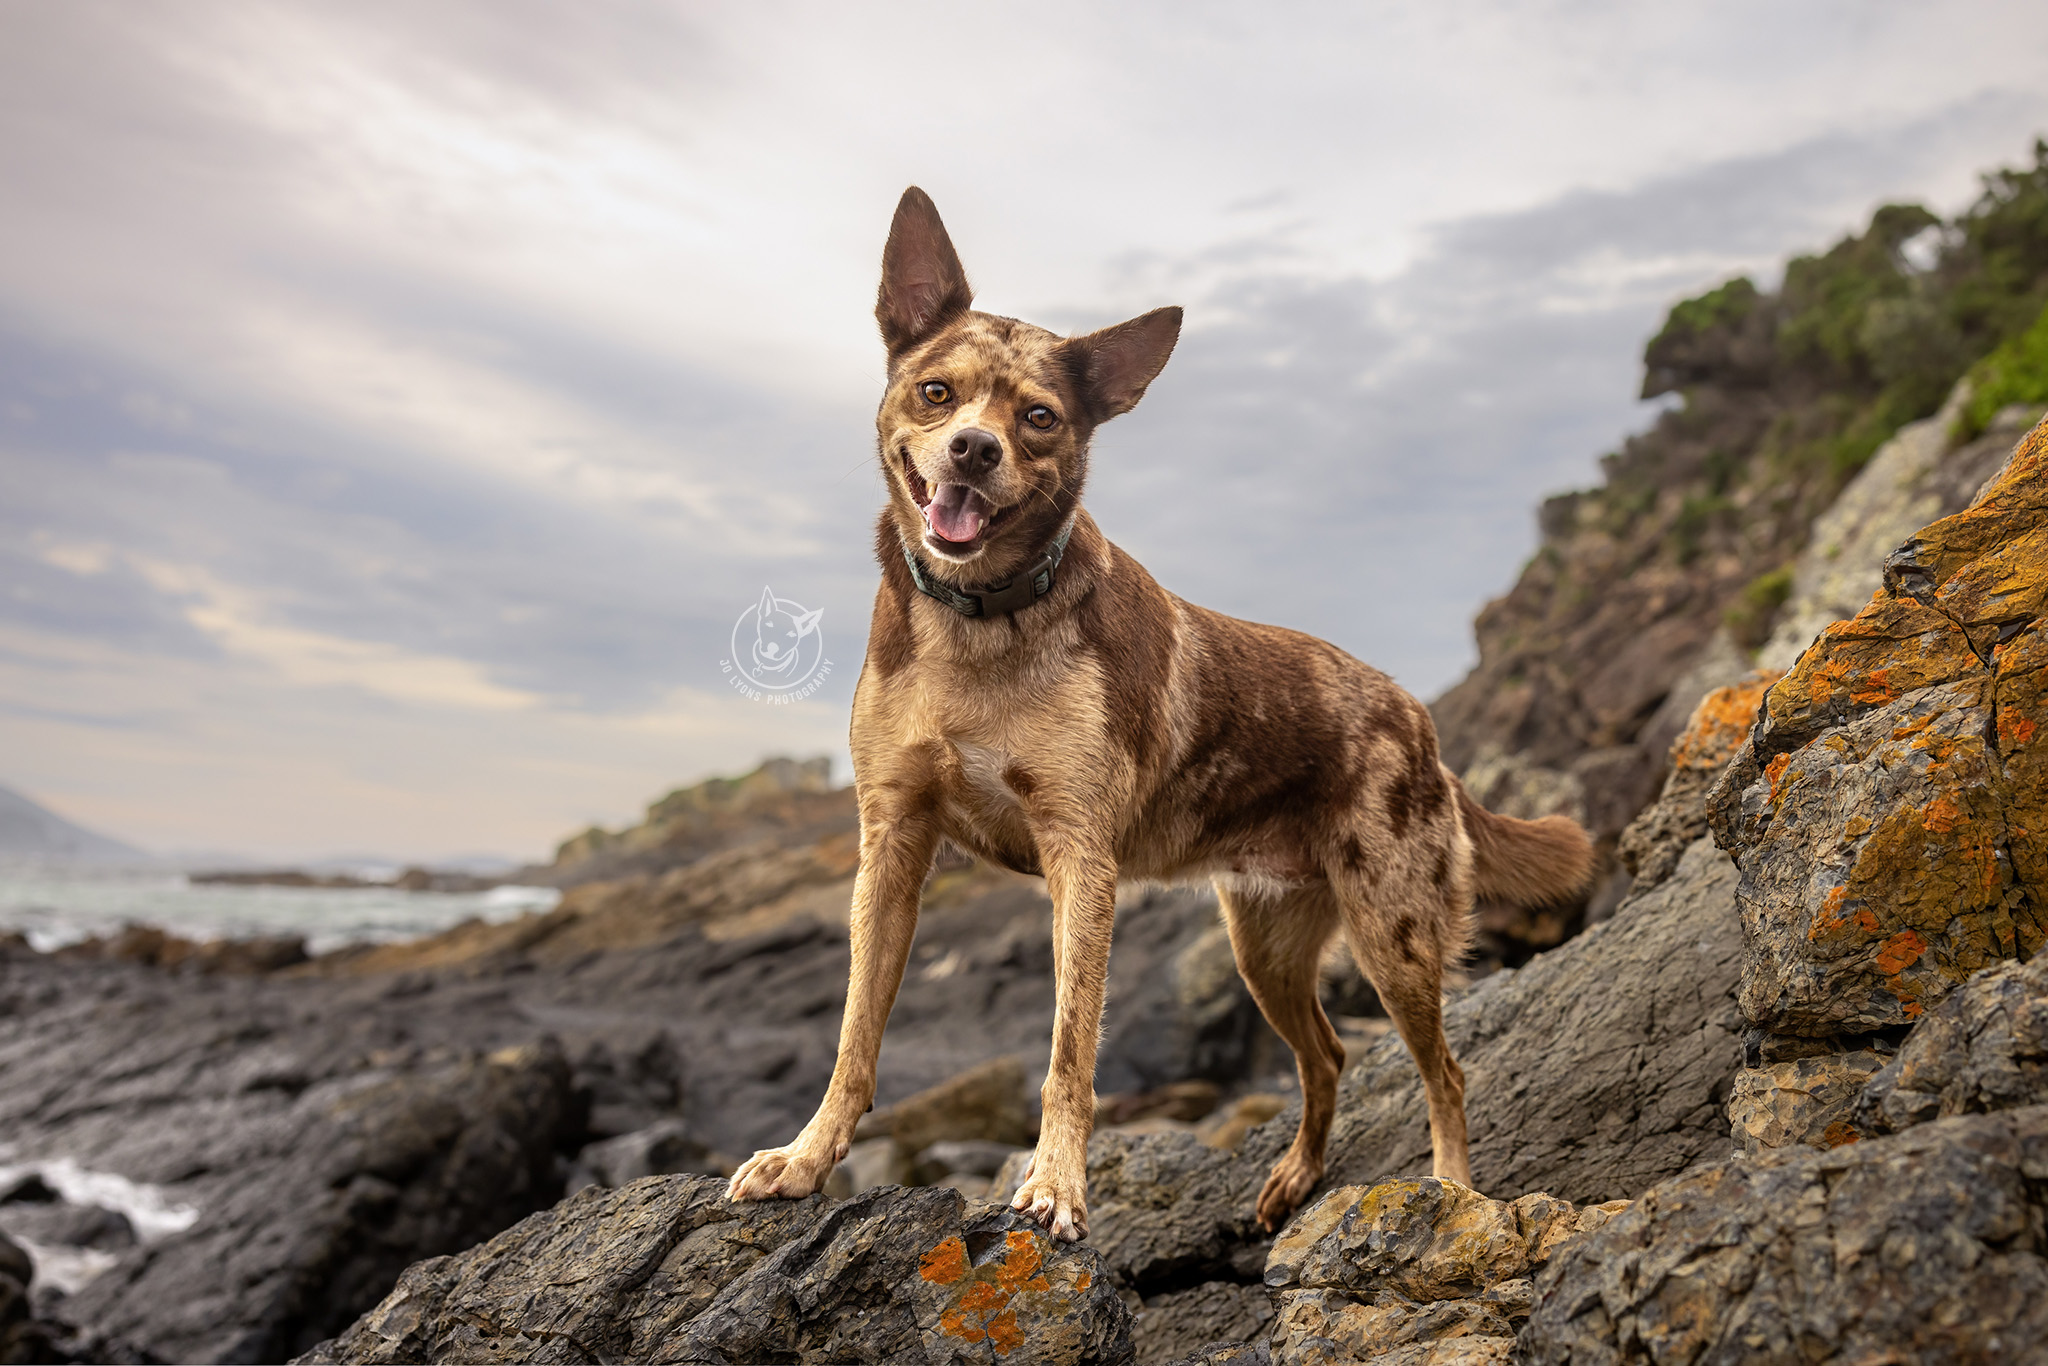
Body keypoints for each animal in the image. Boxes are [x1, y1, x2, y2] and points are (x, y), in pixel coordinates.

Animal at [729, 187, 1589, 1245]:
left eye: (1041, 417)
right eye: (936, 392)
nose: (975, 447)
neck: (980, 622)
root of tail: (1422, 726)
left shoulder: (1081, 861)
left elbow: (1069, 1054)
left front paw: (1055, 1186)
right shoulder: (891, 843)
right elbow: (855, 1034)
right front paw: (807, 1159)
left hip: (1394, 934)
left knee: (1447, 1071)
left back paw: (1454, 1192)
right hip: (1263, 945)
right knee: (1328, 1055)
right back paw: (1295, 1178)